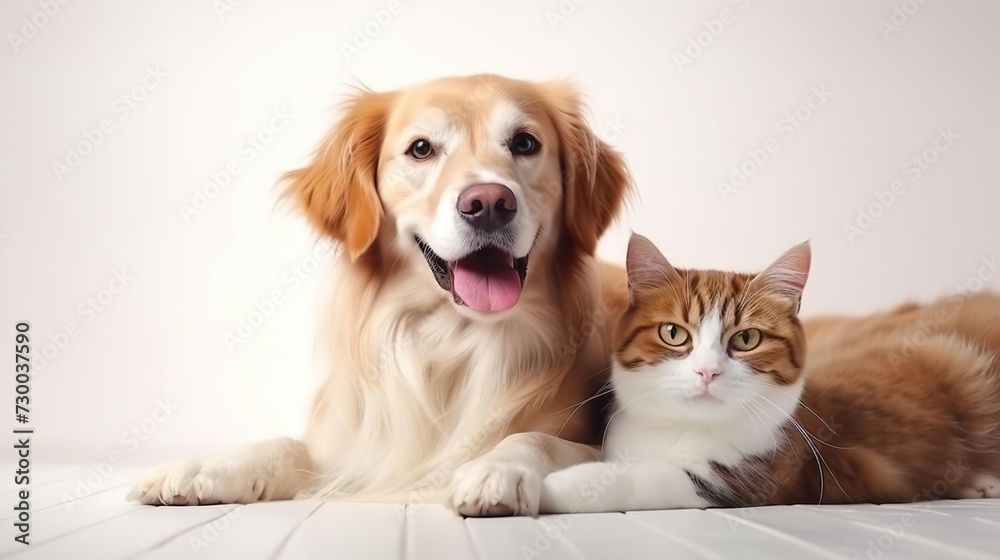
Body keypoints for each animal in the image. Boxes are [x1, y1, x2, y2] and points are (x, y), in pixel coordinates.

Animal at [129, 74, 632, 516]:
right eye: (421, 149)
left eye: (525, 143)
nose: (489, 202)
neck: (452, 338)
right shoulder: (352, 447)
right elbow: (284, 444)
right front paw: (203, 467)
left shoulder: (595, 443)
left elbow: (533, 439)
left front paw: (496, 470)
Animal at [544, 232, 1000, 512]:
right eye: (673, 333)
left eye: (746, 339)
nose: (708, 372)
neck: (680, 428)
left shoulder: (748, 479)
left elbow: (639, 479)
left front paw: (550, 487)